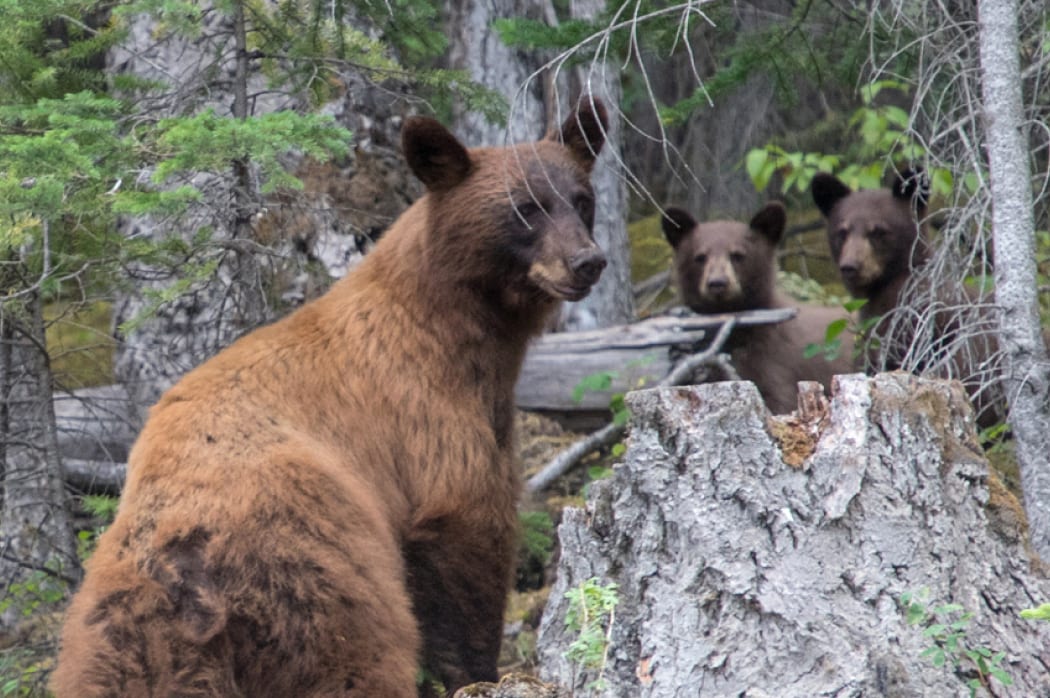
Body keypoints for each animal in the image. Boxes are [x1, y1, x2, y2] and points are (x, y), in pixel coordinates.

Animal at [51, 98, 609, 698]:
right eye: (524, 209)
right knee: (354, 657)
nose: (587, 262)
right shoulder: (429, 411)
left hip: (124, 636)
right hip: (317, 577)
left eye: (582, 200)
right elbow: (467, 529)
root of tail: (183, 565)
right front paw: (480, 670)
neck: (452, 326)